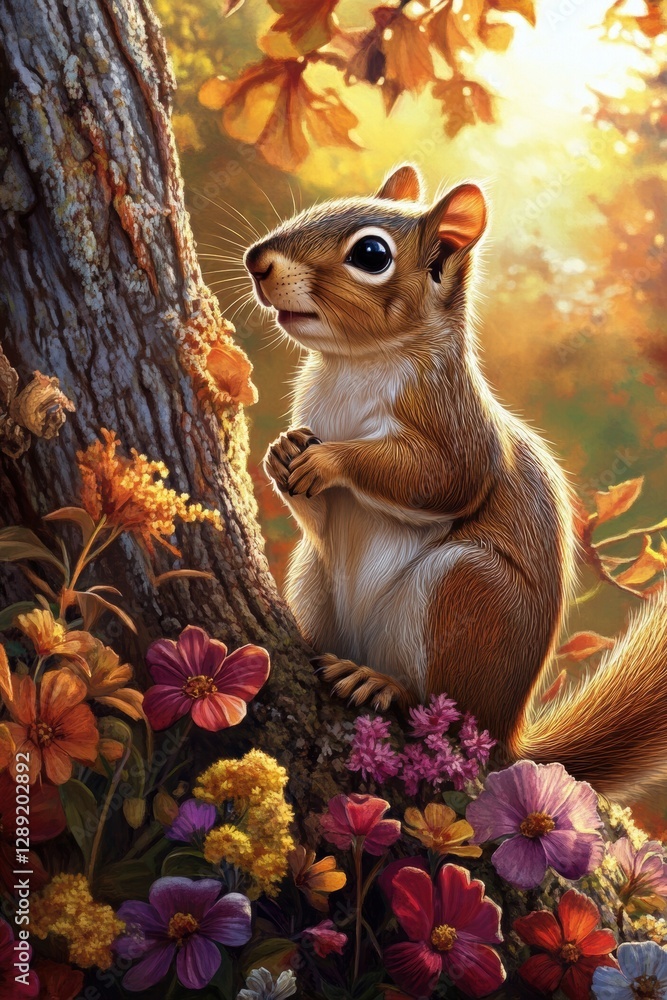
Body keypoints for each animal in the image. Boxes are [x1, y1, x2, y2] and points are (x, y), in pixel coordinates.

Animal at [244, 163, 667, 798]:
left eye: (371, 254)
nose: (257, 261)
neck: (355, 365)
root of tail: (505, 736)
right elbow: (316, 514)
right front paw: (281, 454)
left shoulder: (459, 430)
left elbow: (437, 481)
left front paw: (329, 461)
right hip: (315, 580)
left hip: (467, 596)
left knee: (435, 702)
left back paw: (383, 684)